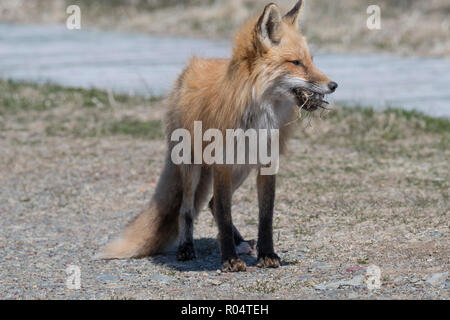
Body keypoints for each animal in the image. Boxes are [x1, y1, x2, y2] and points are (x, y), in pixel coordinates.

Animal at [98, 0, 338, 272]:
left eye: (311, 60)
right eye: (296, 62)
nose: (333, 85)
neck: (258, 115)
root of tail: (188, 70)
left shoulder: (267, 163)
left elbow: (265, 215)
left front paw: (267, 254)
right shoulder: (221, 163)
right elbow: (223, 213)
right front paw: (229, 259)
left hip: (242, 168)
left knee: (210, 203)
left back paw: (241, 242)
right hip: (191, 167)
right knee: (187, 208)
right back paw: (187, 248)